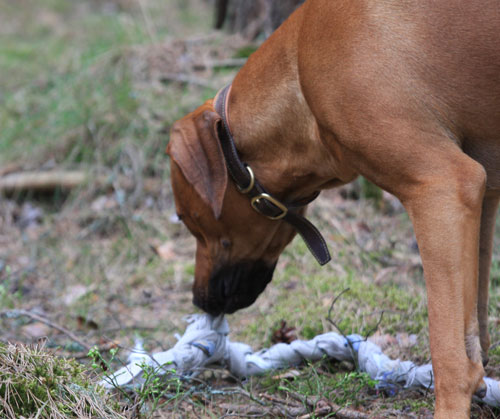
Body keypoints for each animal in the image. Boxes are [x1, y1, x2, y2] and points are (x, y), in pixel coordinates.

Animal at [168, 0, 500, 416]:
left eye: (187, 220)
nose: (199, 300)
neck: (299, 69)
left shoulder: (443, 186)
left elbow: (449, 354)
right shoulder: (480, 194)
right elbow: (474, 330)